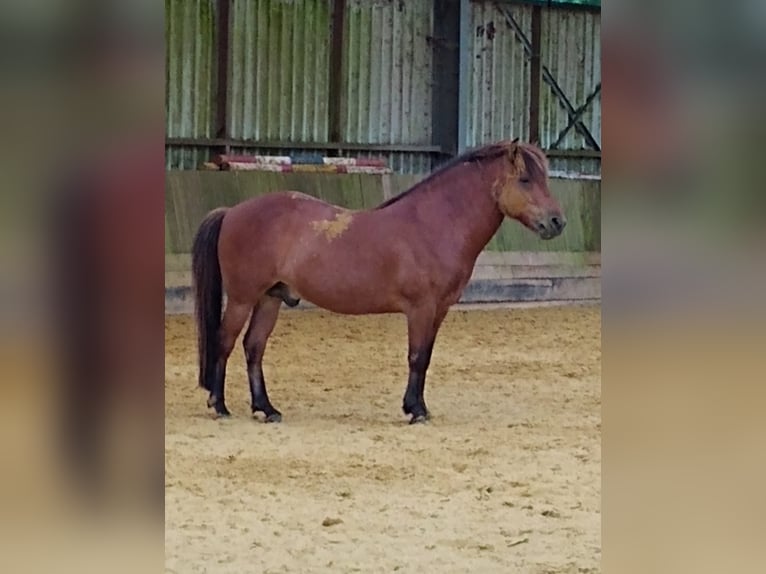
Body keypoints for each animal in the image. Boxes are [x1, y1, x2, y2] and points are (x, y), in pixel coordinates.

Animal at [192, 140, 564, 426]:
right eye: (526, 179)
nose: (557, 222)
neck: (434, 225)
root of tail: (232, 211)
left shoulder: (439, 310)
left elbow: (426, 357)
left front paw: (418, 406)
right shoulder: (420, 308)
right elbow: (416, 357)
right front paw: (416, 411)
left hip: (270, 299)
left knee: (253, 347)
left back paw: (266, 409)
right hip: (242, 298)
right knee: (224, 342)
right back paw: (219, 406)